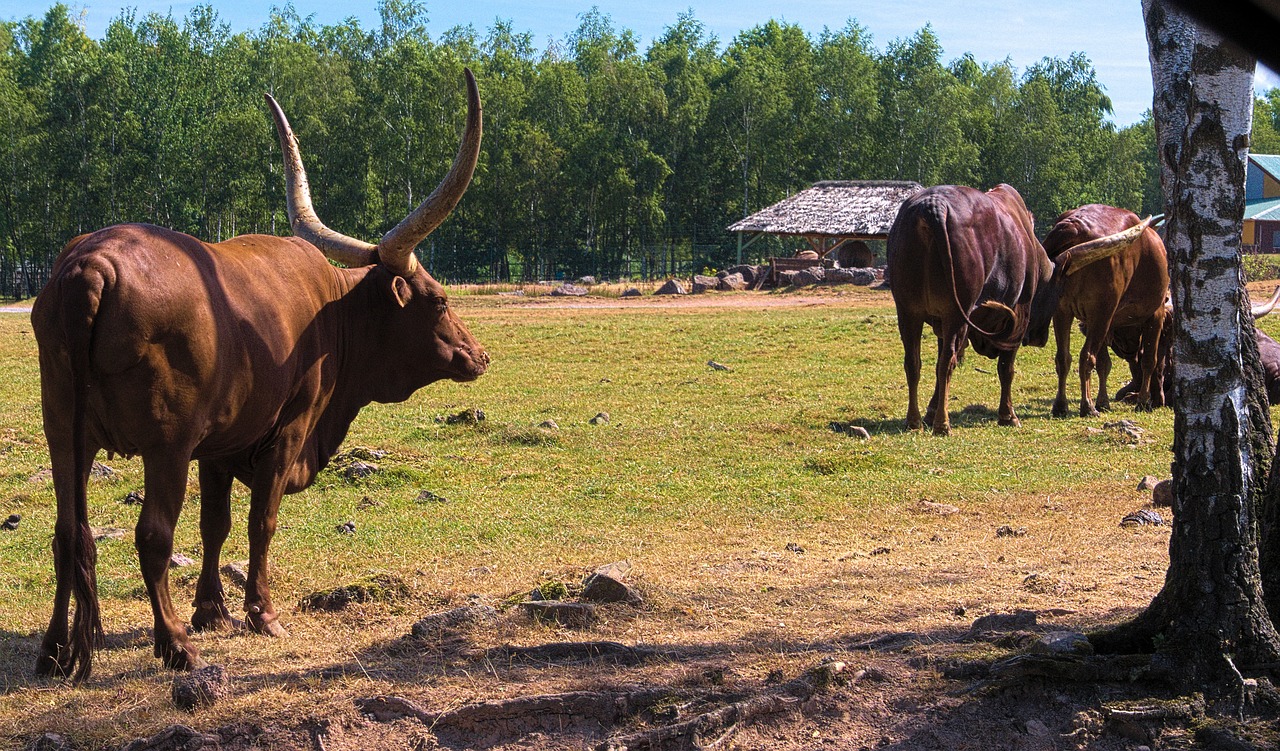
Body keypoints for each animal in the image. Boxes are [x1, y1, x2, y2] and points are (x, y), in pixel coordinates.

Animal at [35, 70, 486, 680]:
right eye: (438, 300)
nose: (479, 355)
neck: (330, 317)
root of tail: (90, 267)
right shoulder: (285, 431)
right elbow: (260, 521)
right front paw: (260, 613)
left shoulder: (219, 445)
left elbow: (215, 523)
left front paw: (211, 610)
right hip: (164, 444)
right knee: (152, 536)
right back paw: (174, 644)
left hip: (66, 433)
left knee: (67, 534)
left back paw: (55, 651)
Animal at [890, 182, 1152, 437]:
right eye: (1058, 292)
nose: (1039, 337)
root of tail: (933, 207)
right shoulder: (1018, 318)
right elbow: (1006, 368)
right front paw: (1008, 415)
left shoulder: (939, 323)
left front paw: (931, 411)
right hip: (956, 315)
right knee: (947, 363)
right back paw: (943, 425)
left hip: (908, 313)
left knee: (914, 363)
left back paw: (914, 421)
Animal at [1044, 205, 1167, 417]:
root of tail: (1074, 225)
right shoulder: (1155, 314)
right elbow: (1149, 360)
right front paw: (1143, 402)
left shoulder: (1097, 320)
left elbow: (1104, 364)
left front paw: (1103, 401)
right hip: (1100, 311)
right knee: (1086, 357)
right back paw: (1087, 406)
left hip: (1063, 311)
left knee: (1063, 358)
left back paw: (1061, 405)